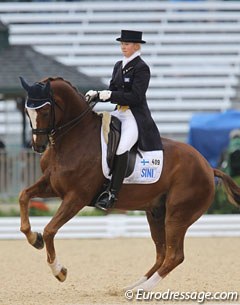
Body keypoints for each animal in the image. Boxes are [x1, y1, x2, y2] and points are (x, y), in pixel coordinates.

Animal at [19, 76, 240, 290]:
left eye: (45, 110)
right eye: (28, 111)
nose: (38, 146)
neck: (74, 139)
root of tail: (208, 167)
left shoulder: (76, 197)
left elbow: (50, 230)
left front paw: (59, 271)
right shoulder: (52, 186)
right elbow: (24, 196)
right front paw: (33, 238)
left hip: (178, 215)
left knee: (174, 255)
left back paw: (141, 289)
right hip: (156, 213)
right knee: (162, 253)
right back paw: (133, 286)